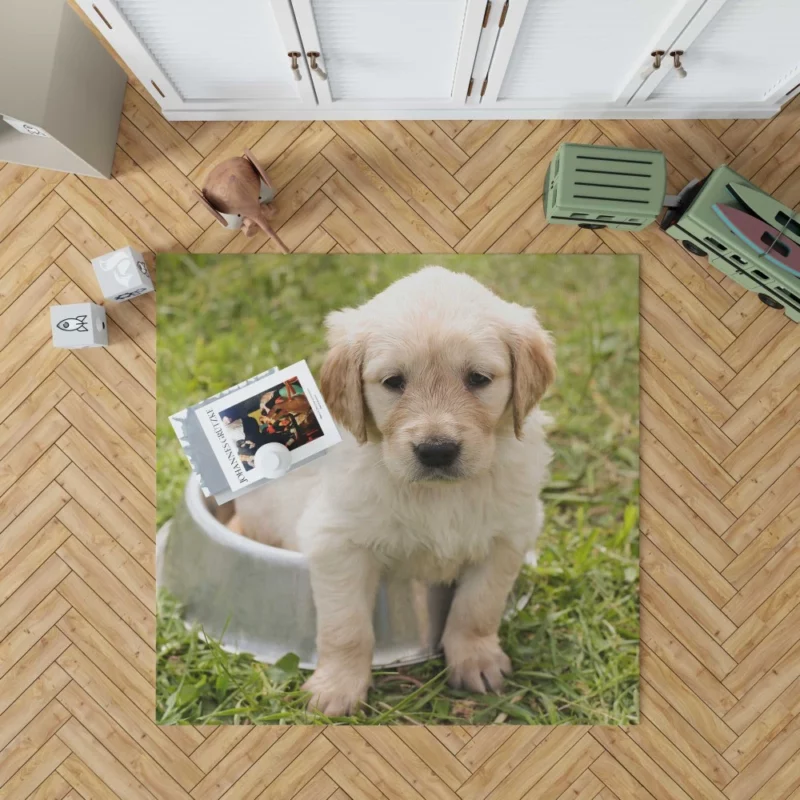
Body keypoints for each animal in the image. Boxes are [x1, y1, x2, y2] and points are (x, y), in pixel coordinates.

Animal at [234, 266, 552, 716]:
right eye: (393, 382)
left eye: (478, 379)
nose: (436, 451)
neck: (439, 495)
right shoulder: (337, 542)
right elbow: (347, 626)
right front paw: (337, 688)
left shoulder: (508, 536)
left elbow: (478, 607)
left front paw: (476, 660)